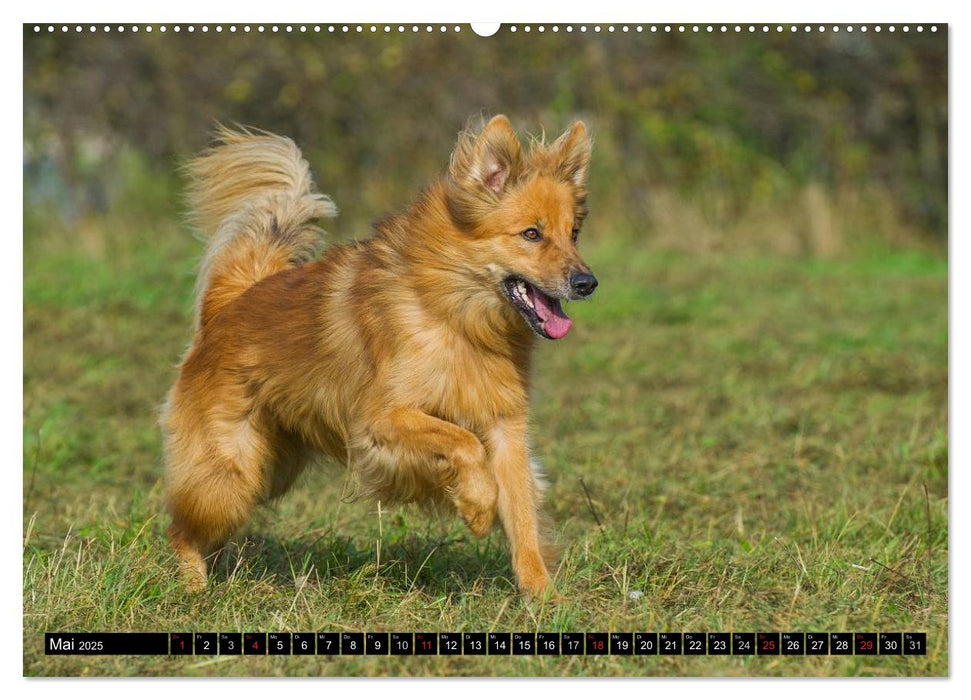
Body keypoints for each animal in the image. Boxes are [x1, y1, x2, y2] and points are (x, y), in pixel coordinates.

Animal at [163, 115, 596, 596]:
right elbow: (463, 444)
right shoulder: (381, 420)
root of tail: (231, 301)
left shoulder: (505, 428)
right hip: (230, 471)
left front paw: (542, 595)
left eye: (574, 233)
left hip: (269, 469)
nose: (587, 283)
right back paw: (193, 587)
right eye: (531, 234)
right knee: (182, 527)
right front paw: (477, 507)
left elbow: (522, 516)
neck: (454, 314)